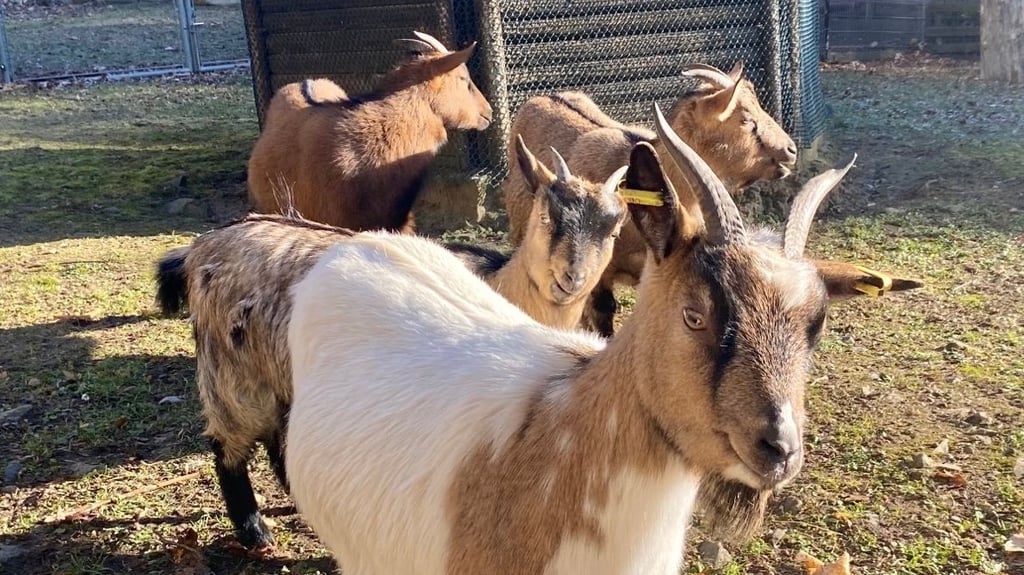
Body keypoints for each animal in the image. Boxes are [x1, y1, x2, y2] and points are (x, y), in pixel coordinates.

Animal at [154, 140, 625, 548]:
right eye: (547, 215)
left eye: (613, 227)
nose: (571, 279)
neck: (500, 284)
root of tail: (201, 246)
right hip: (232, 368)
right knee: (229, 444)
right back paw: (254, 530)